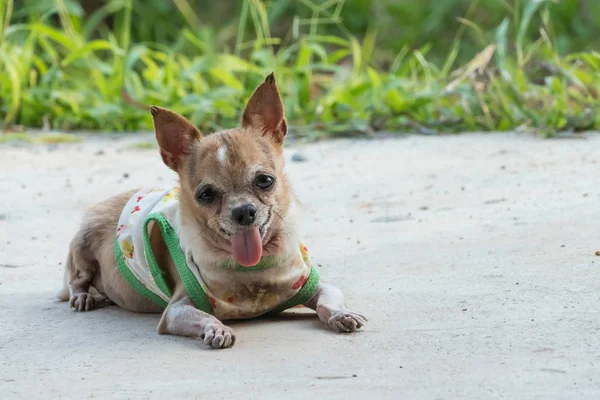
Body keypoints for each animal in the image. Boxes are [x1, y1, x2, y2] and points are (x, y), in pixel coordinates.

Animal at [59, 73, 366, 348]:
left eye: (265, 180)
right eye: (205, 195)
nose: (243, 212)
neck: (252, 272)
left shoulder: (314, 285)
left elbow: (328, 301)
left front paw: (341, 314)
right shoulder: (175, 311)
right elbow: (205, 316)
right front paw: (217, 329)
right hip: (83, 245)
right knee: (77, 279)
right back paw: (83, 296)